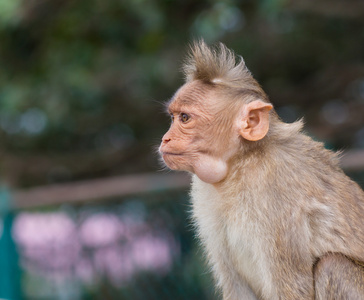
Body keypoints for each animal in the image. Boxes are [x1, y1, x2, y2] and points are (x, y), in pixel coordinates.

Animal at [160, 40, 364, 300]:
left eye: (185, 118)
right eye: (173, 117)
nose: (165, 139)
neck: (239, 164)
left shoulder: (274, 190)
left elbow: (293, 288)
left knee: (333, 266)